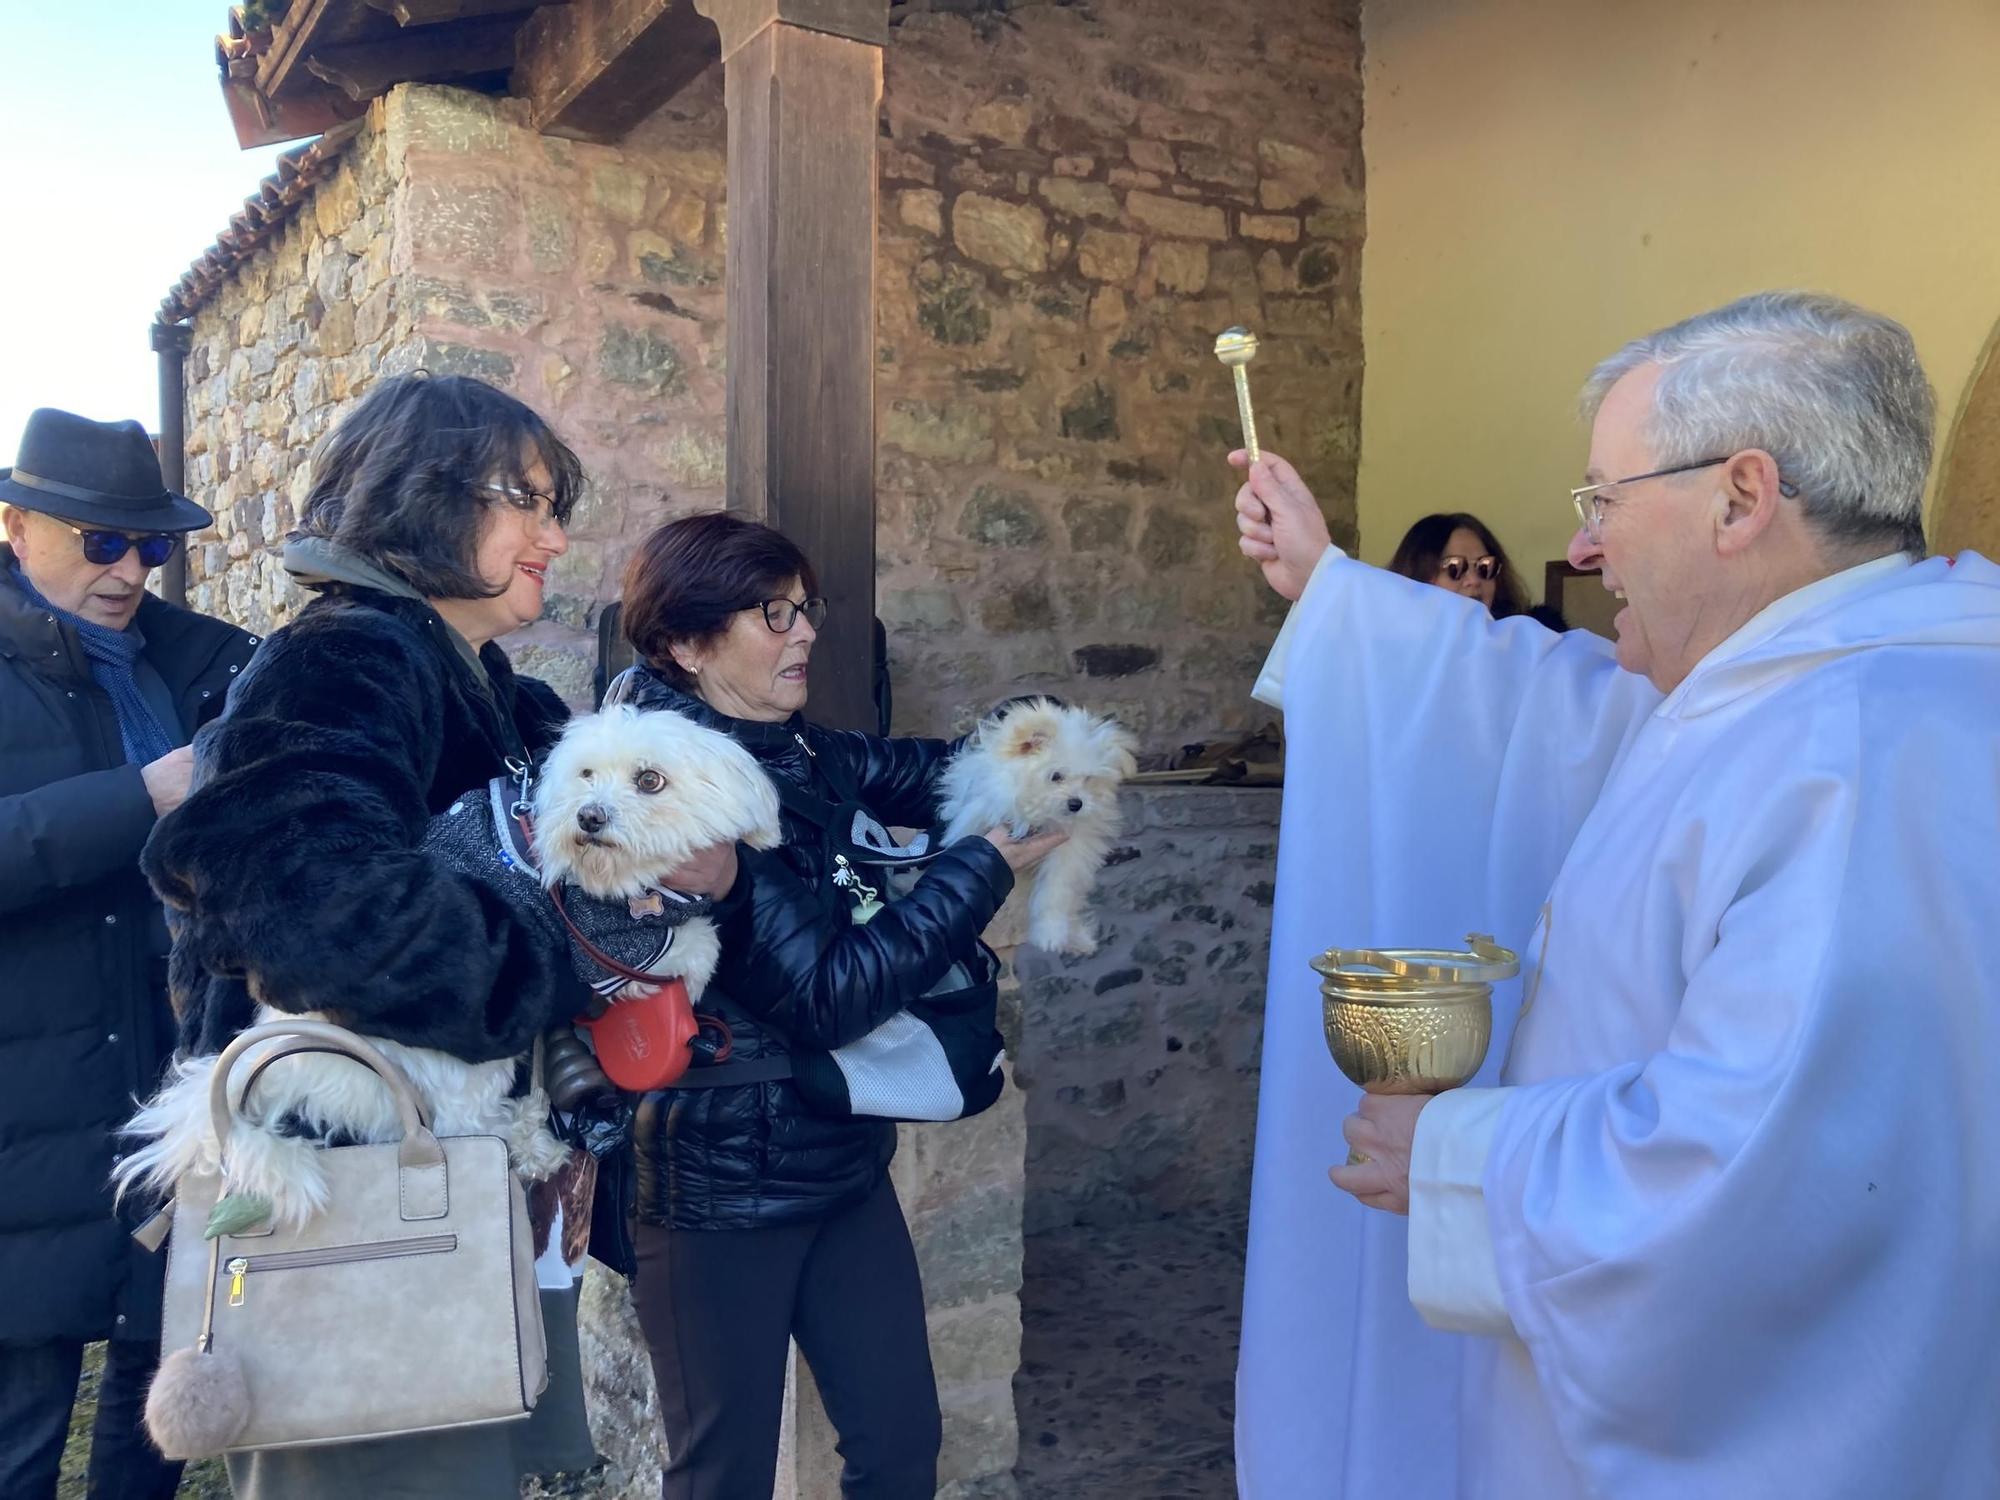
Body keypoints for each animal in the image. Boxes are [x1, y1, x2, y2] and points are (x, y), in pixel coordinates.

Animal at [115, 704, 788, 1232]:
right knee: (465, 1123)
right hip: (464, 1056)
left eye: (650, 780)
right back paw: (530, 1146)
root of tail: (296, 1051)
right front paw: (695, 955)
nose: (589, 817)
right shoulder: (603, 946)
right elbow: (687, 947)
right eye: (587, 775)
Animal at [932, 700, 1136, 956]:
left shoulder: (1069, 852)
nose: (1076, 803)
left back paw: (1077, 939)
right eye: (1056, 776)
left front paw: (1051, 933)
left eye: (1089, 778)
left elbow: (1055, 891)